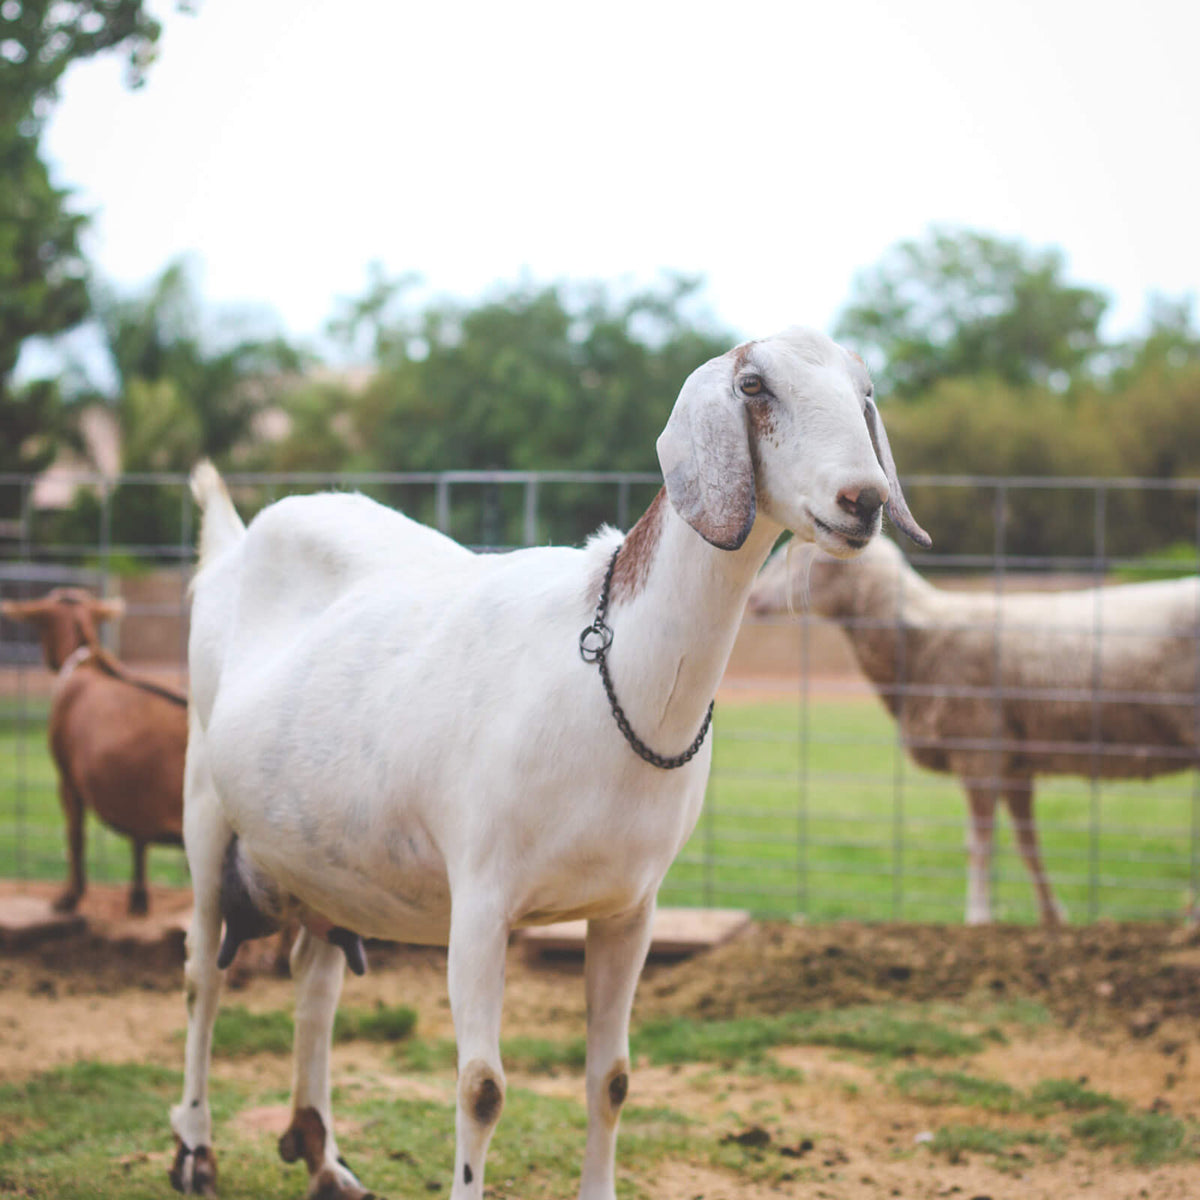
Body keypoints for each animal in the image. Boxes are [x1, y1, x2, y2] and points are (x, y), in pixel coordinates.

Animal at [1, 588, 186, 915]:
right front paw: (138, 899)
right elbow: (139, 841)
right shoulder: (138, 795)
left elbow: (75, 835)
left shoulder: (67, 778)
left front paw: (69, 897)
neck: (87, 662)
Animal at [169, 327, 929, 1200]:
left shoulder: (631, 908)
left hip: (324, 855)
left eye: (864, 393)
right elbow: (481, 1089)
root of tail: (231, 546)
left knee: (314, 980)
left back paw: (321, 1154)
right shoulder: (480, 899)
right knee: (202, 977)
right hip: (204, 807)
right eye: (753, 386)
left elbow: (614, 1078)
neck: (612, 677)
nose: (864, 499)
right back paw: (195, 1149)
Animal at [748, 536, 1200, 925]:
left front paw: (978, 917)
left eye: (806, 560)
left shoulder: (978, 750)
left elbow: (978, 846)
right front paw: (1052, 917)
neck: (921, 638)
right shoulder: (1015, 764)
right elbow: (1027, 845)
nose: (750, 599)